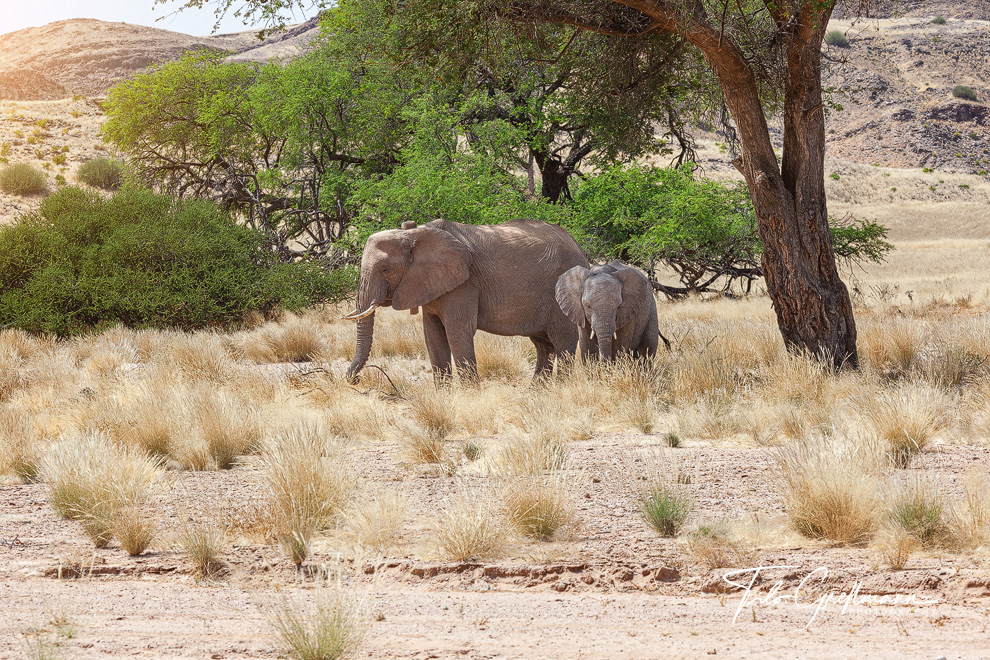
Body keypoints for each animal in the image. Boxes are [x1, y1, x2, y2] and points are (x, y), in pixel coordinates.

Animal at [343, 218, 591, 382]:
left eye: (385, 269)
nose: (354, 379)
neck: (414, 235)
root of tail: (580, 250)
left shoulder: (464, 284)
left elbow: (457, 332)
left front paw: (470, 393)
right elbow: (433, 336)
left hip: (560, 292)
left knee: (563, 343)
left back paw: (562, 387)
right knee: (543, 345)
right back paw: (538, 391)